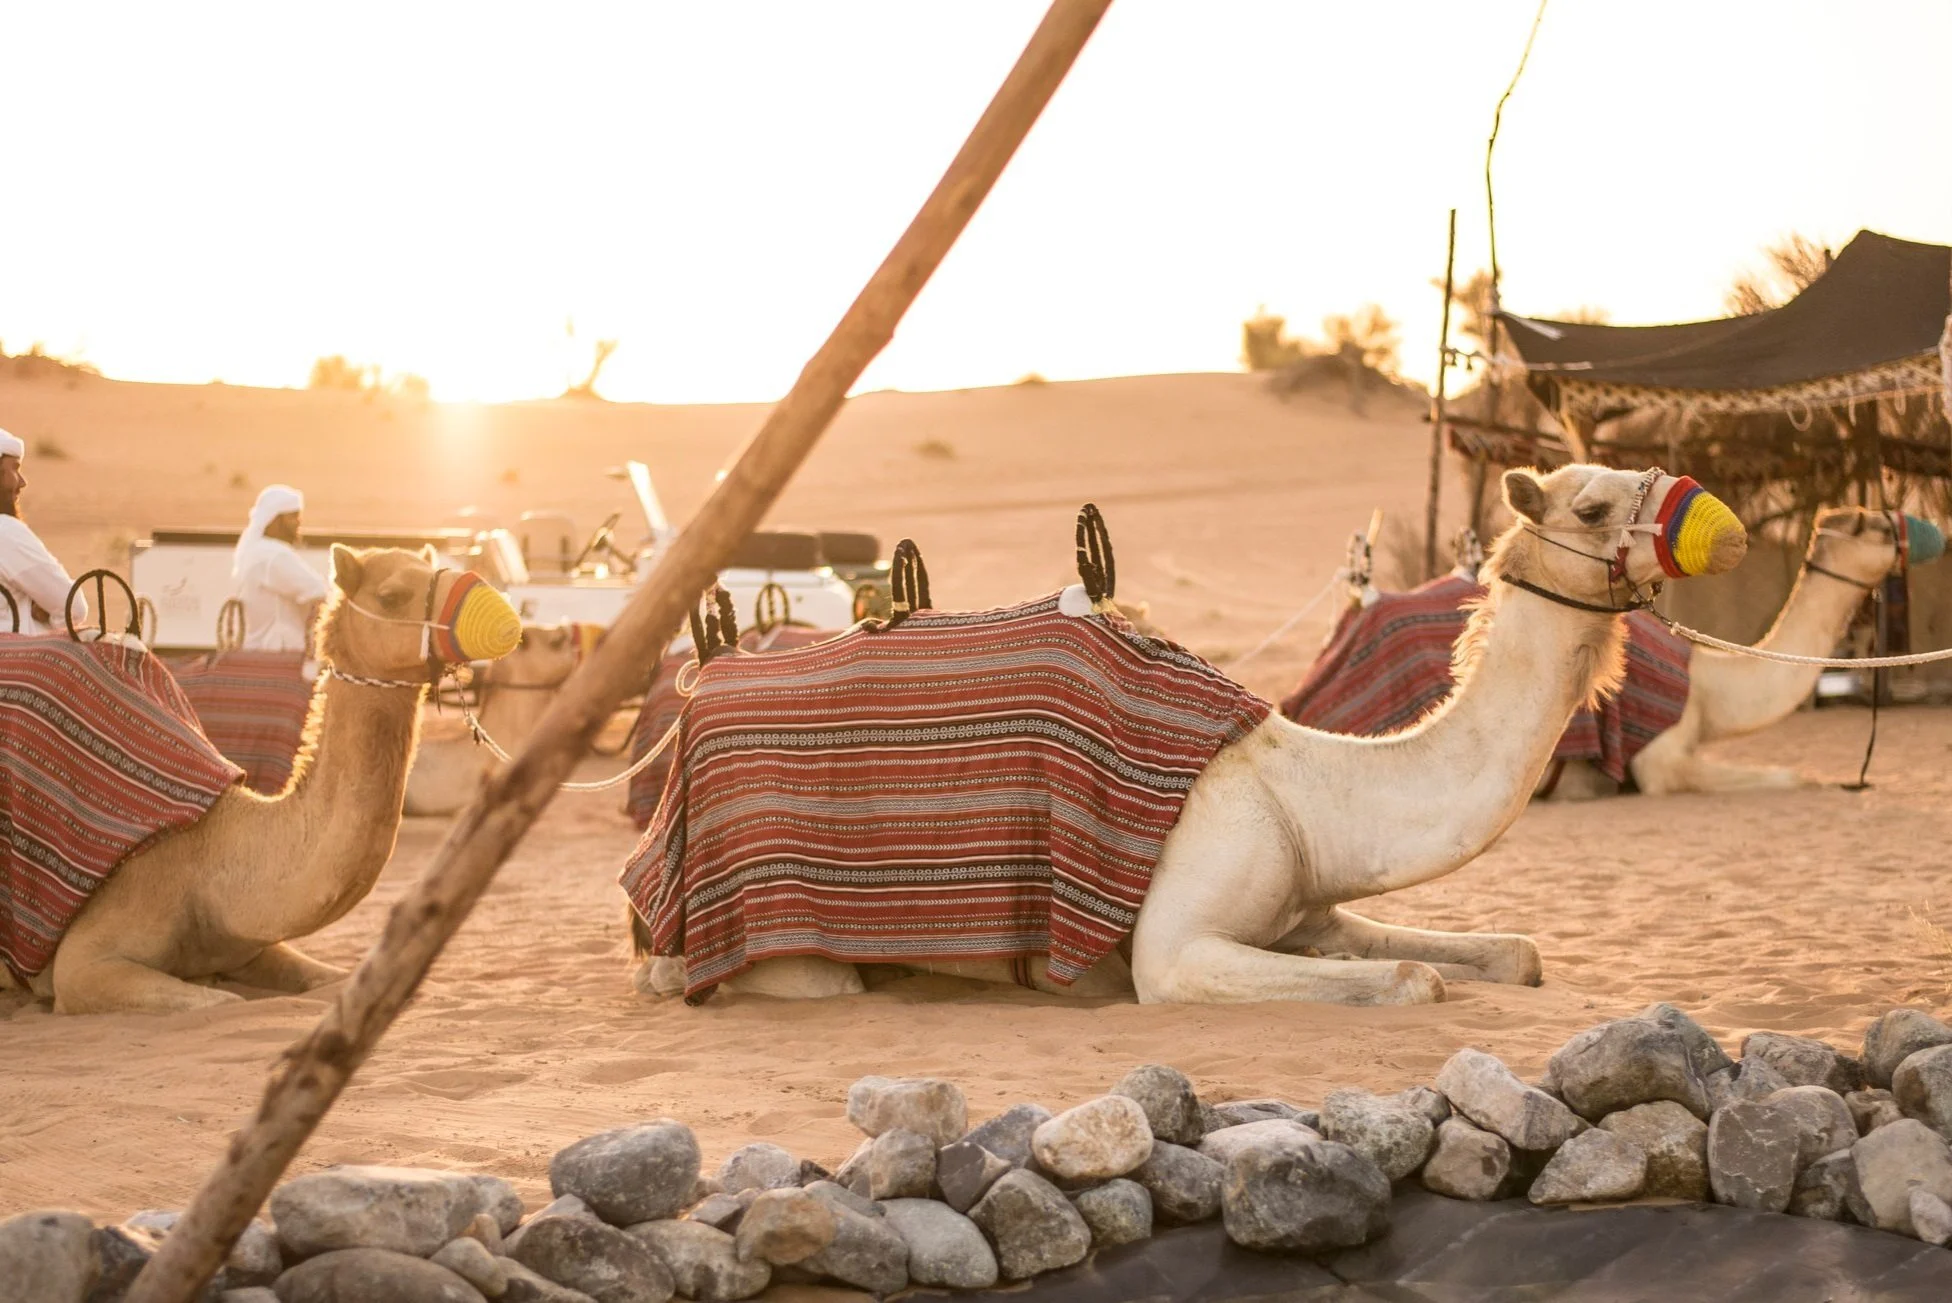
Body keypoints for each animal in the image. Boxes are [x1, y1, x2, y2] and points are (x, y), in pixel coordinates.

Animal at [16, 546, 519, 1014]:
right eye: (391, 596)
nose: (503, 617)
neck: (208, 859)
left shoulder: (252, 945)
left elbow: (333, 979)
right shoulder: (86, 961)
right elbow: (221, 1001)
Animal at [636, 462, 1747, 1006]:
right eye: (1593, 504)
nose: (1728, 529)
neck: (1302, 786)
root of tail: (698, 685)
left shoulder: (1308, 911)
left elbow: (1510, 954)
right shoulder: (1173, 949)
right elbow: (1412, 979)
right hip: (778, 940)